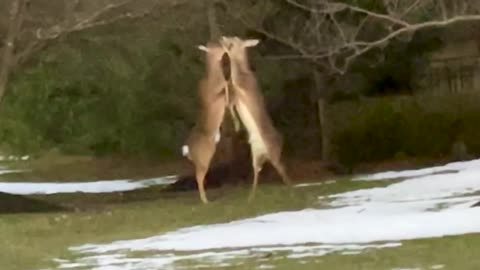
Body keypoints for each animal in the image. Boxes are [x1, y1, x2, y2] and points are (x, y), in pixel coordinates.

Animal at [182, 41, 238, 204]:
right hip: (204, 156)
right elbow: (225, 89)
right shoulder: (215, 93)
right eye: (216, 48)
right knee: (199, 176)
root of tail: (188, 151)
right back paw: (205, 201)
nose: (226, 46)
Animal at [221, 35, 292, 201]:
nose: (223, 38)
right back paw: (250, 197)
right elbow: (230, 100)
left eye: (234, 40)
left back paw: (291, 189)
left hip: (273, 152)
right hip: (255, 153)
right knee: (257, 171)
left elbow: (232, 85)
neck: (245, 72)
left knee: (282, 168)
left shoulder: (242, 86)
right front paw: (236, 124)